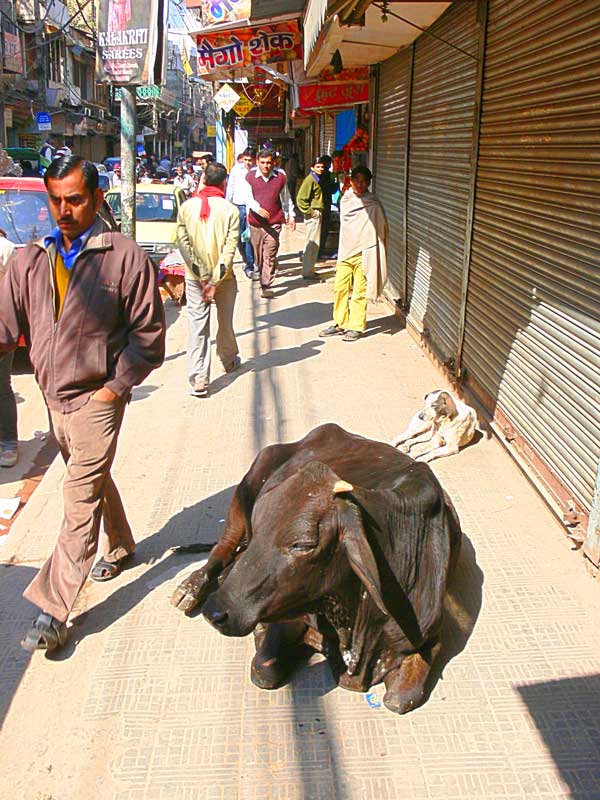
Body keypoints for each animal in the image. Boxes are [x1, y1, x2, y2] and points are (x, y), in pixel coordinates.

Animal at [171, 422, 462, 716]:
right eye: (260, 524)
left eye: (303, 545)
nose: (215, 612)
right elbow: (264, 672)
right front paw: (262, 634)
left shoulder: (431, 634)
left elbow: (401, 698)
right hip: (244, 493)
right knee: (224, 546)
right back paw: (190, 588)